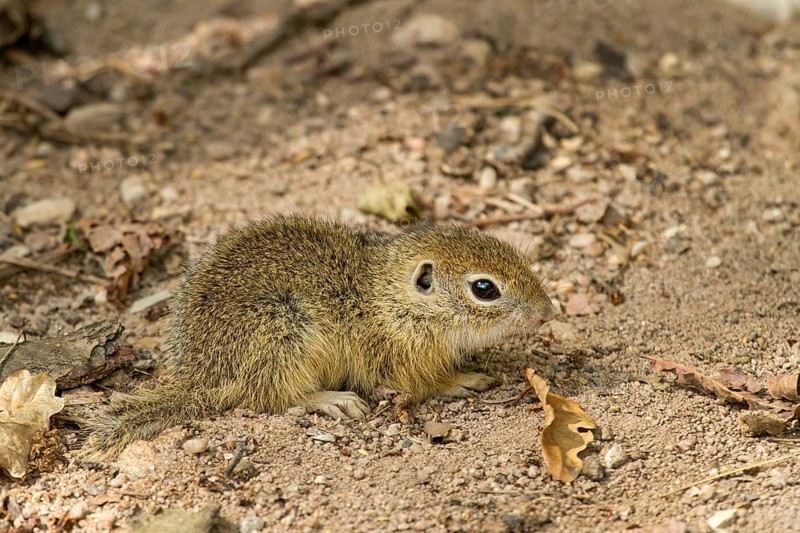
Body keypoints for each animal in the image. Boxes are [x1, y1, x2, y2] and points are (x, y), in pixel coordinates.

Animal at [83, 216, 555, 459]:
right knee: (273, 395)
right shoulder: (395, 358)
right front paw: (461, 379)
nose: (548, 312)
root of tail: (198, 378)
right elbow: (423, 384)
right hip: (284, 335)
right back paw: (331, 399)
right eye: (484, 288)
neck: (389, 297)